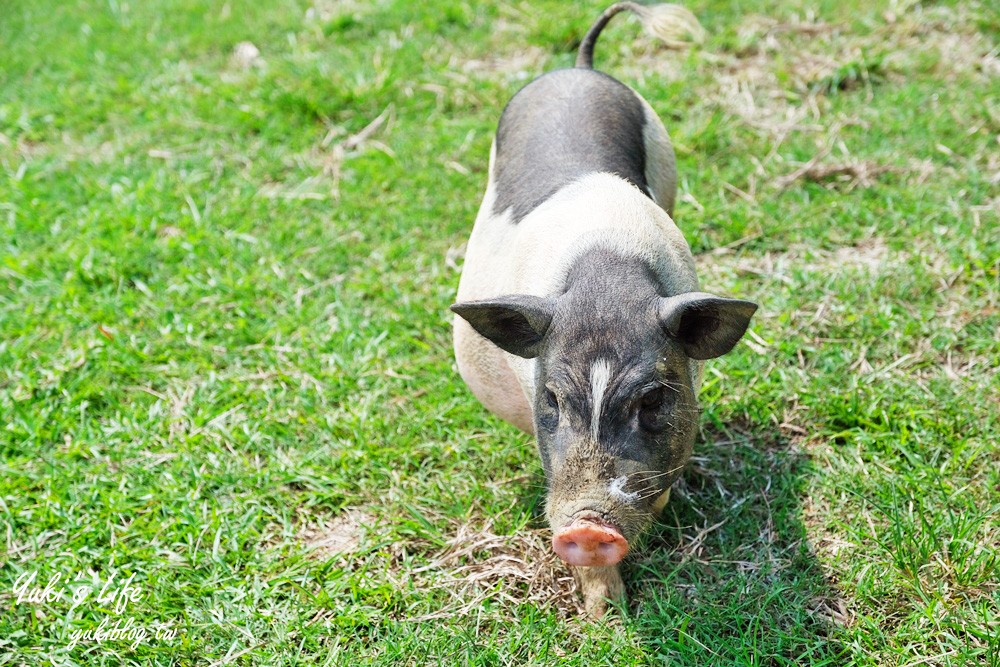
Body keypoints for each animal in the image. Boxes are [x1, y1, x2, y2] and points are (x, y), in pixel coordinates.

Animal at [450, 1, 752, 616]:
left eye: (652, 399)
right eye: (551, 398)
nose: (588, 528)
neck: (605, 281)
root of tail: (580, 66)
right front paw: (605, 617)